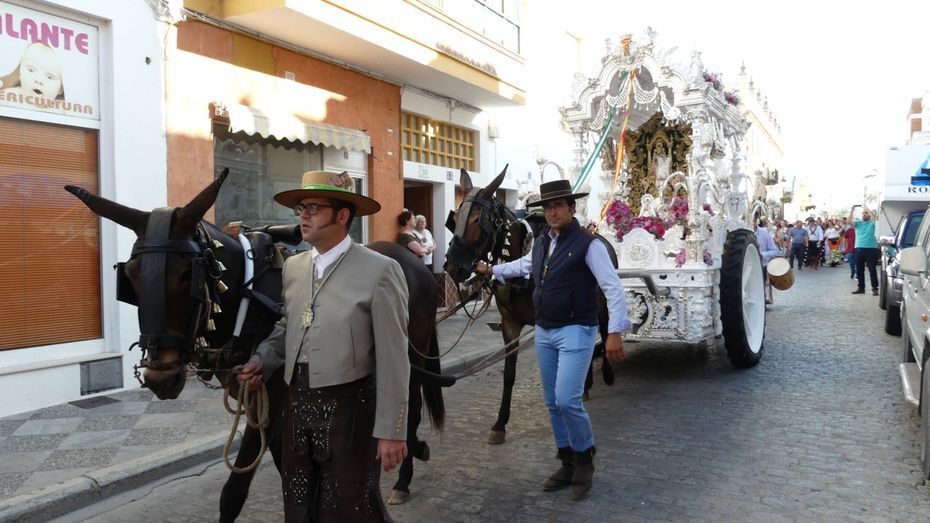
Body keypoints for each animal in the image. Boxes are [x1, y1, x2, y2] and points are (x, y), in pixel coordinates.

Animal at [65, 169, 444, 520]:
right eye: (130, 277)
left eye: (188, 276)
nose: (161, 375)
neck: (248, 297)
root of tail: (414, 263)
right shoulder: (259, 396)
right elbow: (284, 462)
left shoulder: (273, 393)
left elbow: (235, 491)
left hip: (409, 351)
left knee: (407, 407)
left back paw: (405, 472)